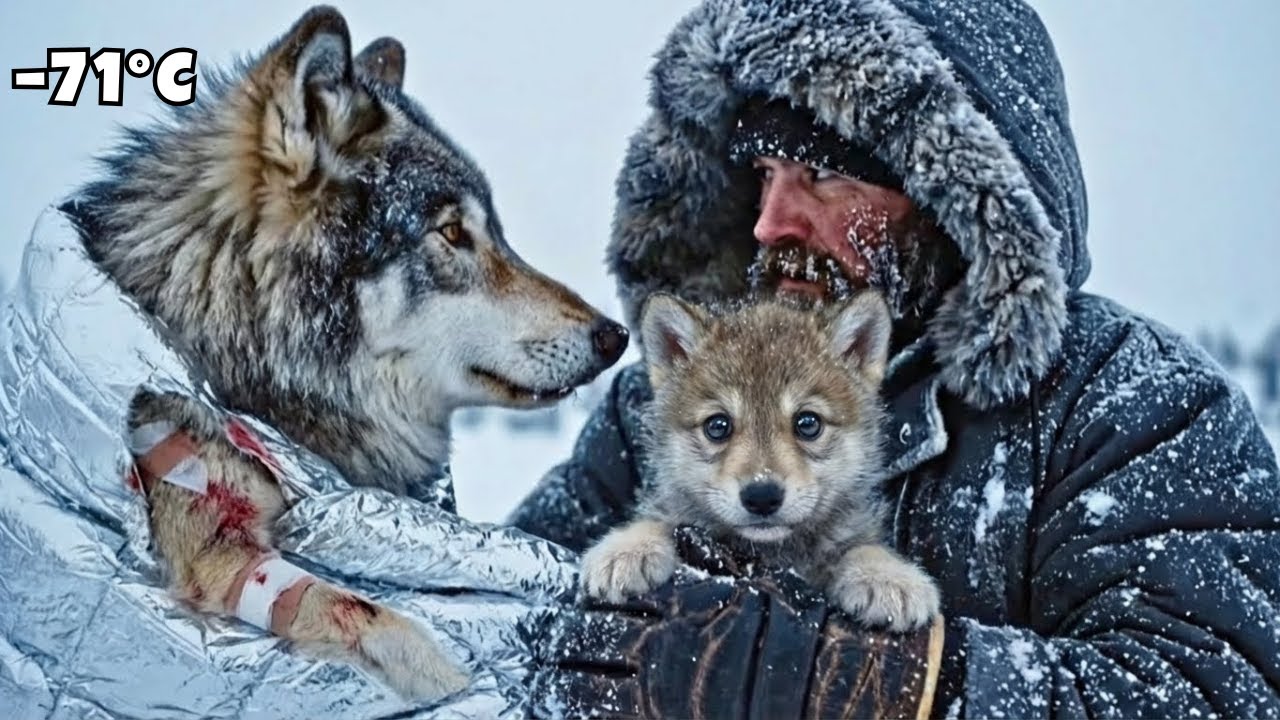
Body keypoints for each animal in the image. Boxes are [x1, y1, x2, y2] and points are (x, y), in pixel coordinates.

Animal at [60, 6, 628, 701]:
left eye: (494, 231)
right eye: (452, 233)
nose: (615, 336)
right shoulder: (214, 549)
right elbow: (373, 615)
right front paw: (461, 684)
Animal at [579, 292, 939, 631]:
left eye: (808, 423)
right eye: (717, 425)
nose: (762, 496)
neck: (771, 555)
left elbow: (861, 546)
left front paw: (887, 576)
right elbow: (659, 520)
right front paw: (627, 548)